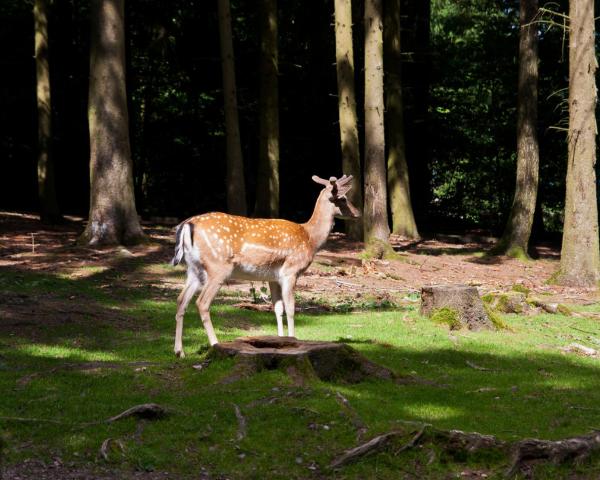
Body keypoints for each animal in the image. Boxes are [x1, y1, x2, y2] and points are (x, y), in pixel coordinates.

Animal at [171, 174, 358, 354]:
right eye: (343, 198)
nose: (357, 213)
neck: (310, 238)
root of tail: (187, 226)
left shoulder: (273, 277)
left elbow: (277, 308)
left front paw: (281, 340)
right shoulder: (291, 271)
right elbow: (291, 308)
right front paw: (293, 339)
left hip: (194, 269)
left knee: (181, 300)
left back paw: (179, 351)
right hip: (218, 267)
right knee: (202, 303)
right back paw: (214, 344)